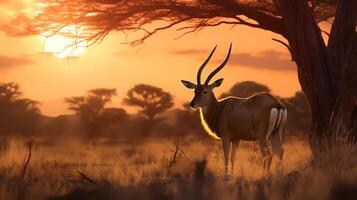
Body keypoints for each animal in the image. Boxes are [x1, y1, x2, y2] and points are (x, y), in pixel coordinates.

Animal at [181, 44, 286, 176]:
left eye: (205, 91)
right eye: (195, 90)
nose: (192, 104)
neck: (220, 109)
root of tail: (276, 103)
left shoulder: (226, 138)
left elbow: (226, 157)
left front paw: (226, 175)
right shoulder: (236, 139)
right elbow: (233, 157)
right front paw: (231, 174)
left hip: (263, 137)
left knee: (268, 154)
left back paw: (265, 175)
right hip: (275, 134)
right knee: (280, 152)